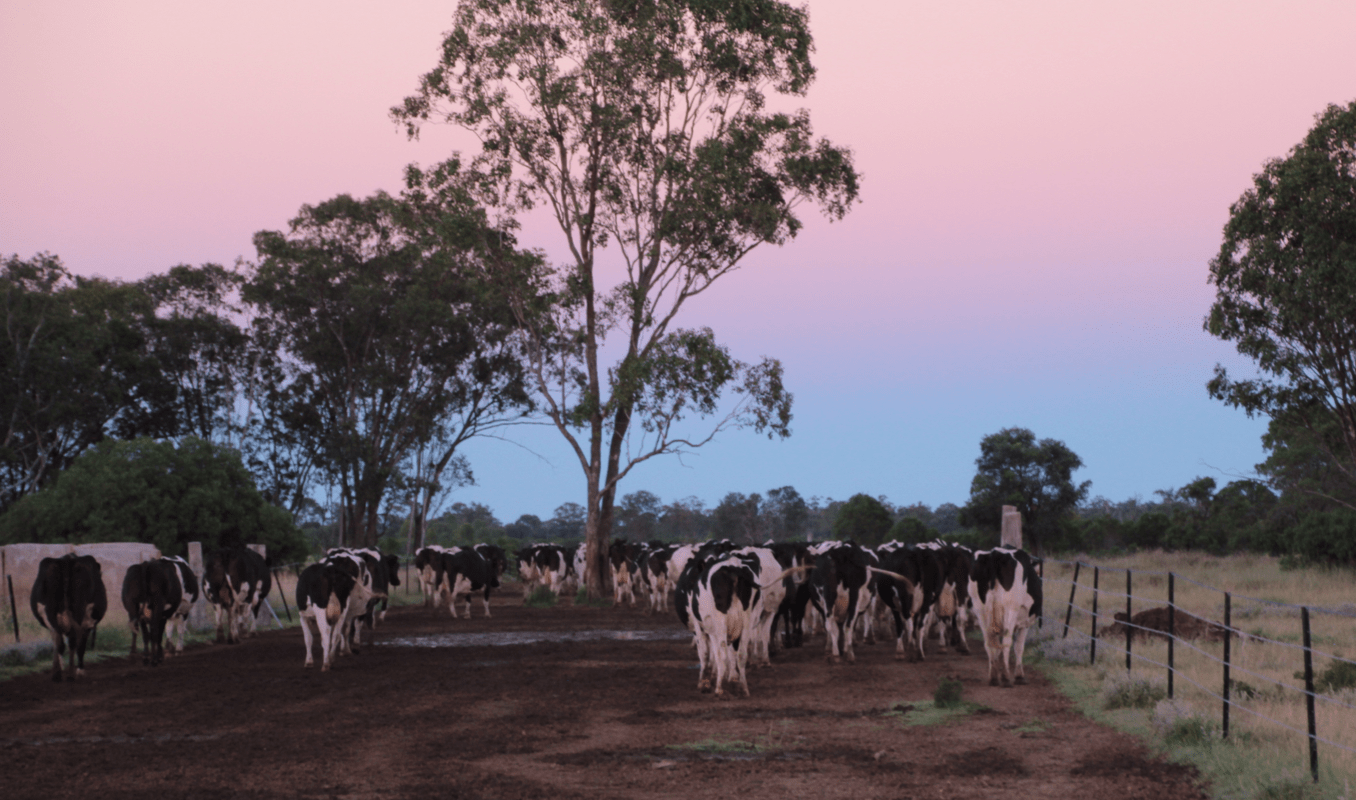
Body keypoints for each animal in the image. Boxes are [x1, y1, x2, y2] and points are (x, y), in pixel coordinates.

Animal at [970, 553, 1041, 688]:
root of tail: (995, 555)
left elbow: (996, 647)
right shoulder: (1025, 624)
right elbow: (1019, 647)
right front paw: (1019, 676)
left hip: (981, 611)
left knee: (988, 642)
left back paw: (993, 677)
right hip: (1010, 610)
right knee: (1007, 642)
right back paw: (1006, 678)